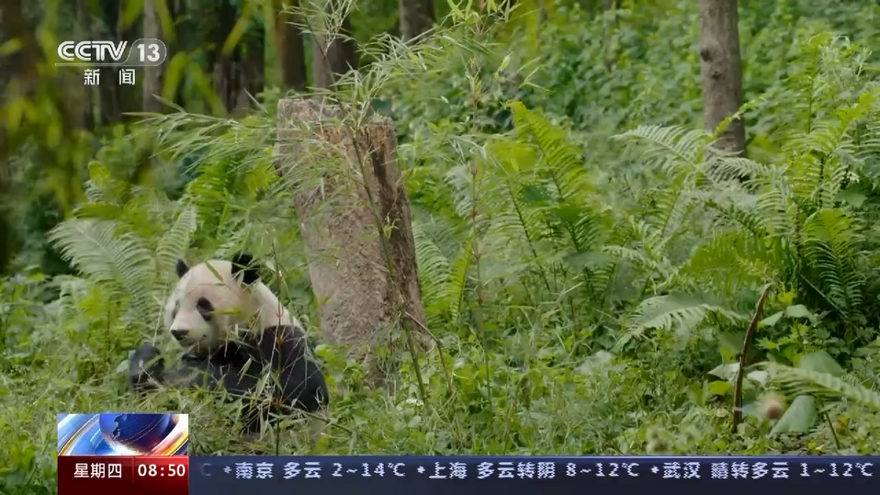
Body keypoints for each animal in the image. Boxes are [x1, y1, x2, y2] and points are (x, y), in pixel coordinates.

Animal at [125, 254, 328, 440]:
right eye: (176, 307)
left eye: (203, 305)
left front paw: (184, 378)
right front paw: (146, 363)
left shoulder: (281, 339)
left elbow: (284, 391)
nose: (179, 332)